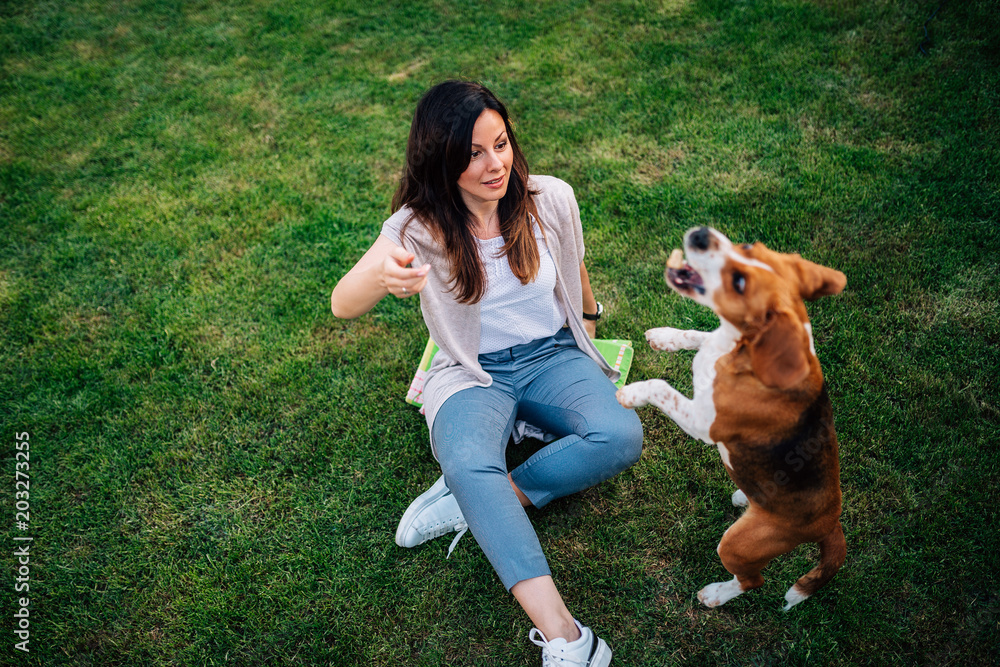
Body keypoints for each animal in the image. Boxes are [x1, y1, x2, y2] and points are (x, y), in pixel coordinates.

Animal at [620, 226, 848, 612]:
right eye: (747, 245)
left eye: (739, 282)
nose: (701, 234)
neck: (738, 346)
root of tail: (831, 523)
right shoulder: (712, 342)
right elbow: (694, 334)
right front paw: (664, 337)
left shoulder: (702, 422)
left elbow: (660, 385)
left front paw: (630, 393)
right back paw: (744, 496)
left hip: (738, 545)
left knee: (753, 581)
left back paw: (715, 594)